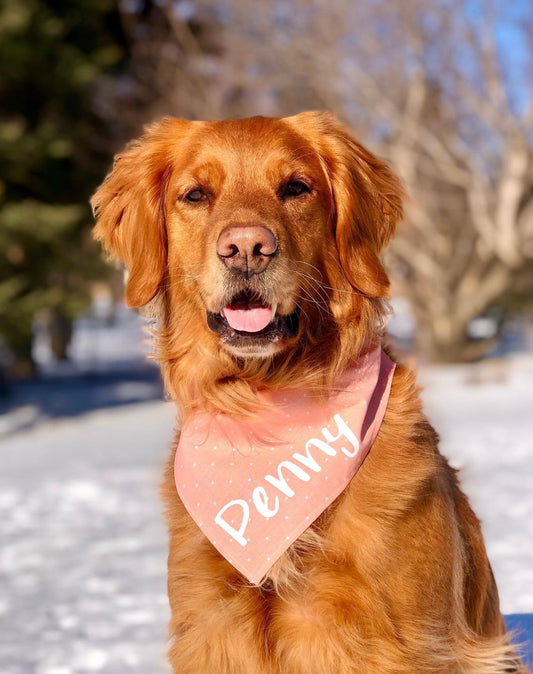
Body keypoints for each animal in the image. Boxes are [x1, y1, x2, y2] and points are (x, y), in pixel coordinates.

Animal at [89, 110, 524, 672]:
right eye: (195, 195)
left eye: (296, 188)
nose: (245, 248)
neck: (267, 402)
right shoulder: (211, 626)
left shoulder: (404, 640)